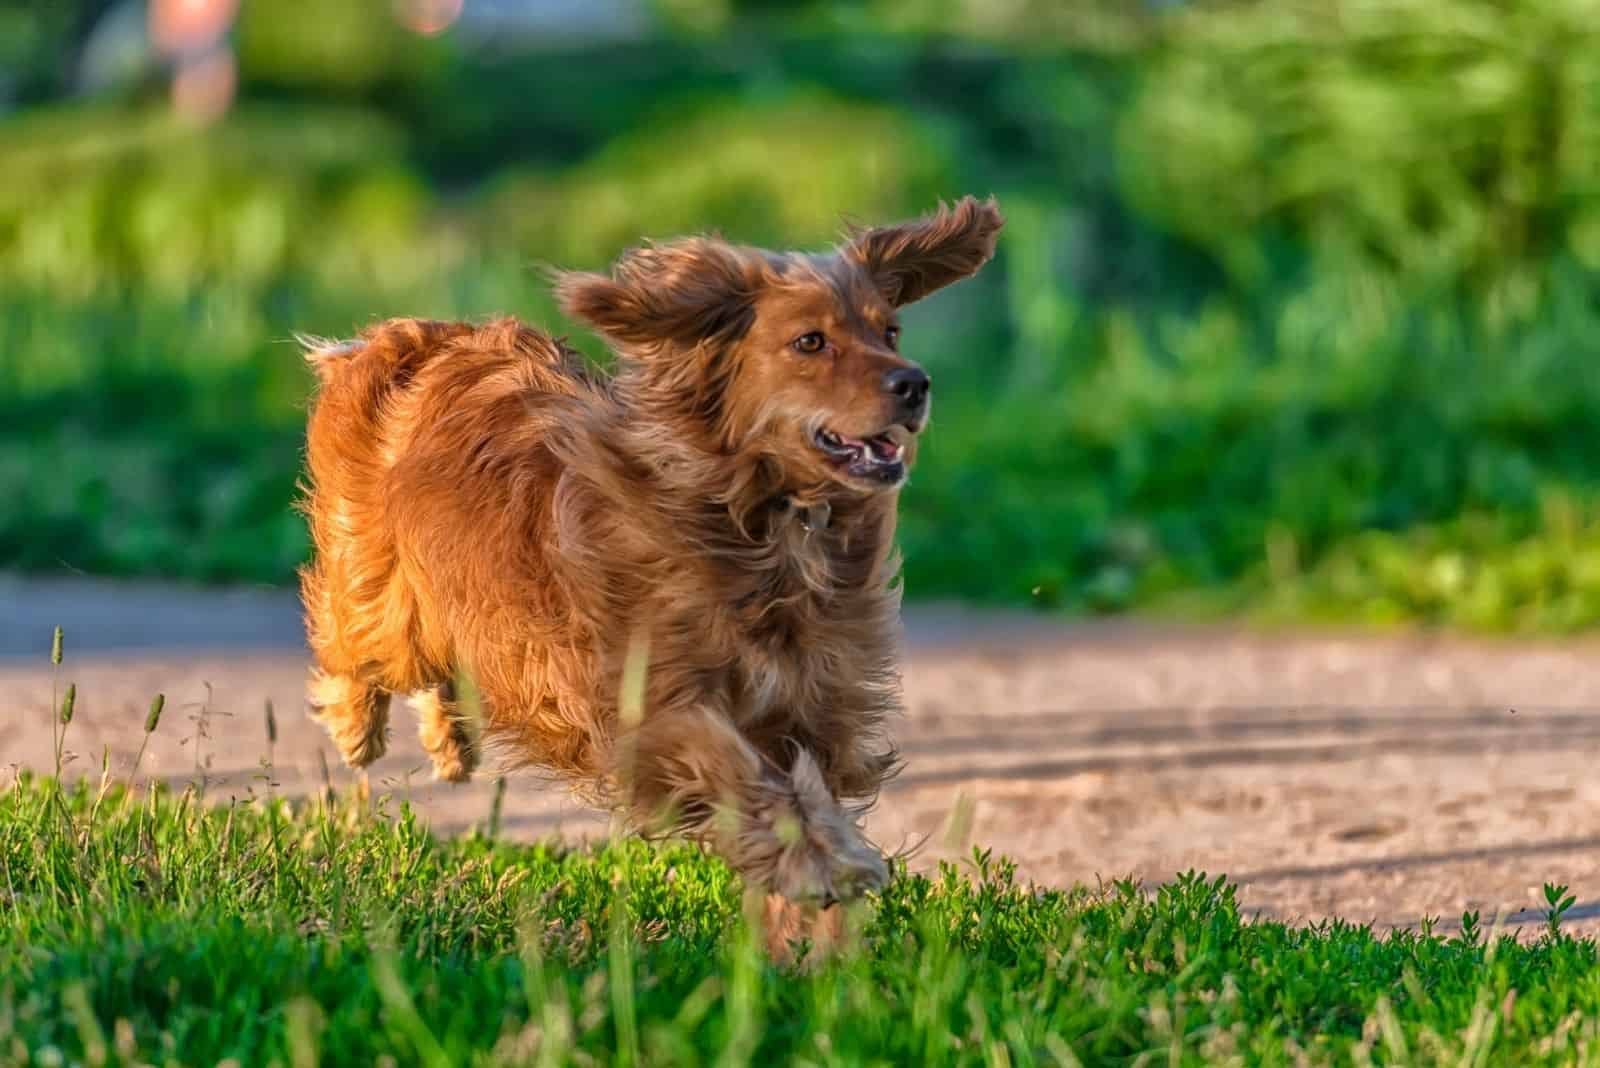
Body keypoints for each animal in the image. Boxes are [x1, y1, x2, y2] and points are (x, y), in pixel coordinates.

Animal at [299, 194, 998, 901]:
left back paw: (450, 744)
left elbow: (804, 786)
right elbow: (739, 774)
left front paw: (815, 862)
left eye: (890, 333)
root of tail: (414, 337)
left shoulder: (813, 701)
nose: (915, 383)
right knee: (356, 647)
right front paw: (820, 862)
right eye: (810, 341)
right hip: (384, 600)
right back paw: (356, 728)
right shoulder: (652, 701)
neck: (758, 522)